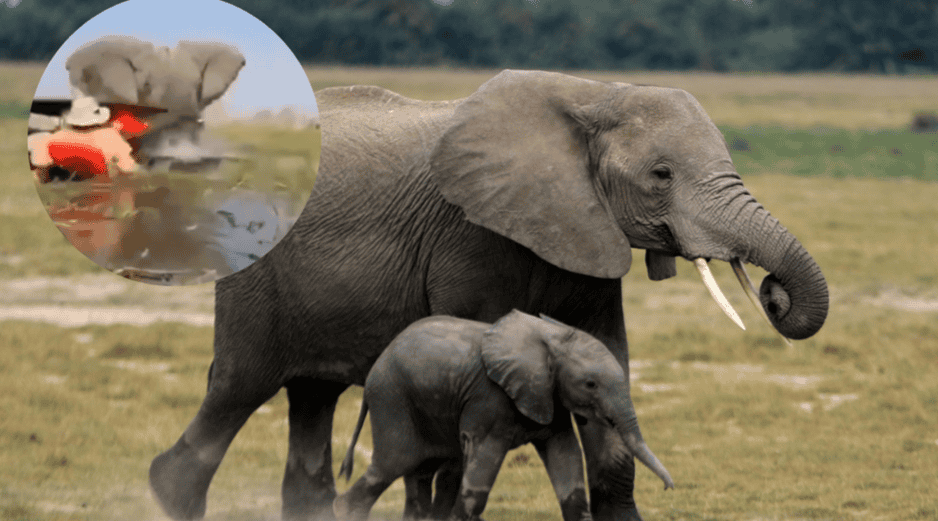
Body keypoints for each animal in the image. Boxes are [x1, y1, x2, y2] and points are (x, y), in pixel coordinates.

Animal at [333, 310, 674, 521]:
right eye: (590, 384)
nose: (669, 488)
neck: (551, 335)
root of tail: (376, 366)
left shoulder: (548, 396)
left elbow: (565, 457)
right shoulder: (490, 399)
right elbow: (483, 467)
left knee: (420, 472)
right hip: (393, 400)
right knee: (393, 463)